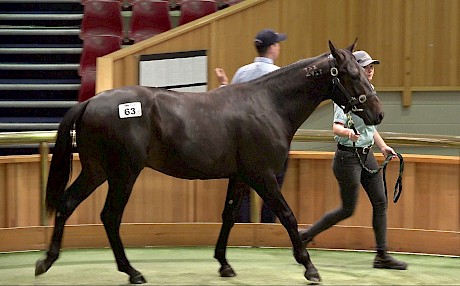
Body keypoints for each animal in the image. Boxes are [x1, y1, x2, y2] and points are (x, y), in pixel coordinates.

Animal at [33, 41, 384, 284]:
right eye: (353, 74)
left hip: (96, 171)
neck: (268, 105)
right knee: (109, 217)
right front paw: (309, 266)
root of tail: (91, 101)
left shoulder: (240, 176)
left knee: (66, 204)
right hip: (123, 174)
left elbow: (228, 216)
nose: (377, 113)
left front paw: (224, 264)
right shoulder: (263, 176)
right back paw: (131, 272)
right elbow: (287, 216)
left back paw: (46, 262)